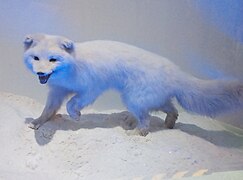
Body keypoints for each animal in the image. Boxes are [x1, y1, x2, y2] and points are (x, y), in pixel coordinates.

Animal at [24, 33, 243, 135]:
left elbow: (72, 103)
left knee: (147, 120)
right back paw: (168, 124)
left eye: (53, 59)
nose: (41, 73)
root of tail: (176, 71)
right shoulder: (56, 92)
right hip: (152, 99)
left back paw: (136, 132)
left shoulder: (92, 88)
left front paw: (76, 116)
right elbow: (48, 110)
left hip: (133, 99)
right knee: (172, 109)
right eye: (36, 58)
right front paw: (37, 122)